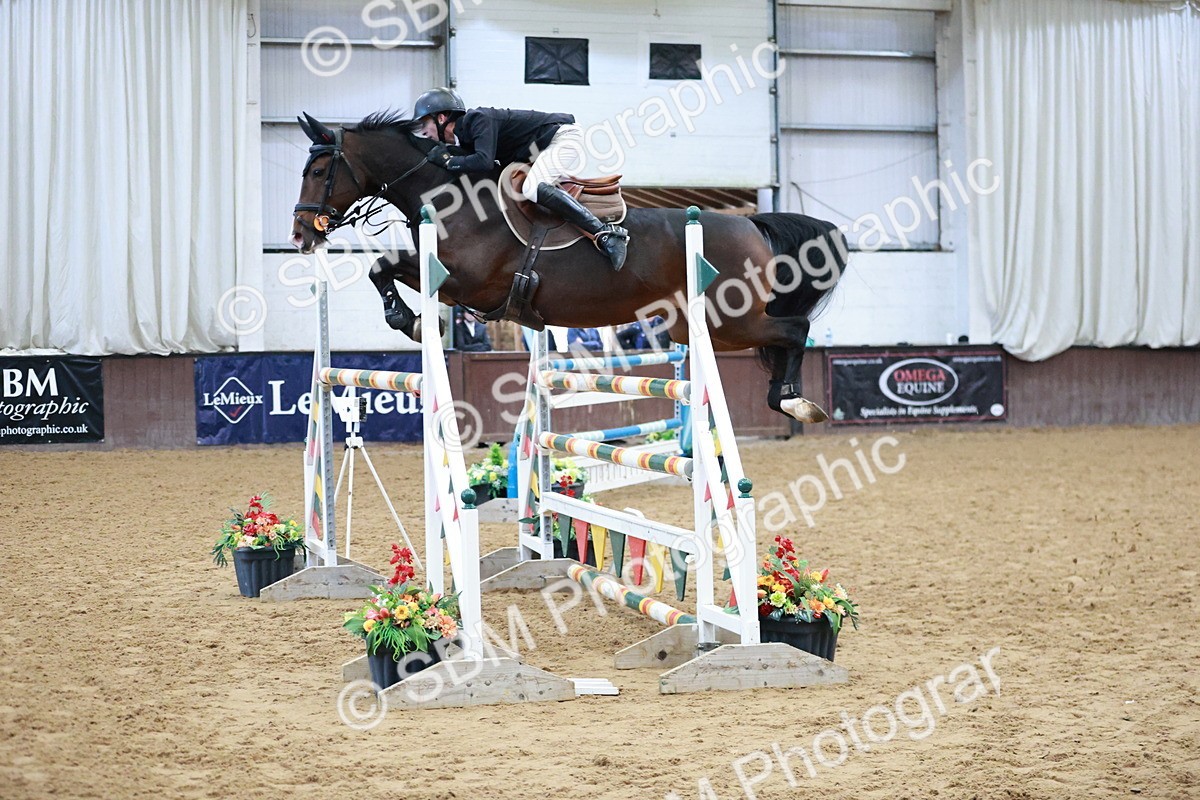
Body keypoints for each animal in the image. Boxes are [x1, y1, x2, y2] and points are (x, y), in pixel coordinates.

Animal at [289, 111, 848, 423]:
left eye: (317, 169)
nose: (300, 235)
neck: (449, 197)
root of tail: (751, 224)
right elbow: (381, 269)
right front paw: (410, 320)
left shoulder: (466, 283)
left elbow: (382, 268)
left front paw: (408, 320)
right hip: (695, 327)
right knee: (783, 334)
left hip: (726, 321)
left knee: (794, 330)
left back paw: (794, 402)